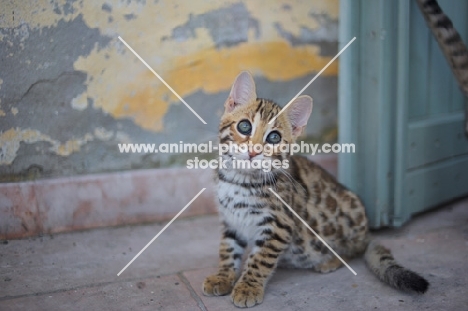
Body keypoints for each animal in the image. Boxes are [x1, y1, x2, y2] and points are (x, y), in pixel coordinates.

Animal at [203, 72, 430, 308]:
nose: (253, 151)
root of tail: (366, 234)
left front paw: (248, 287)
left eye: (274, 138)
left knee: (354, 250)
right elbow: (228, 249)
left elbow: (260, 259)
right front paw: (223, 277)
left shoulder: (278, 224)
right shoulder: (230, 220)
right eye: (244, 127)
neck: (239, 179)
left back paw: (330, 261)